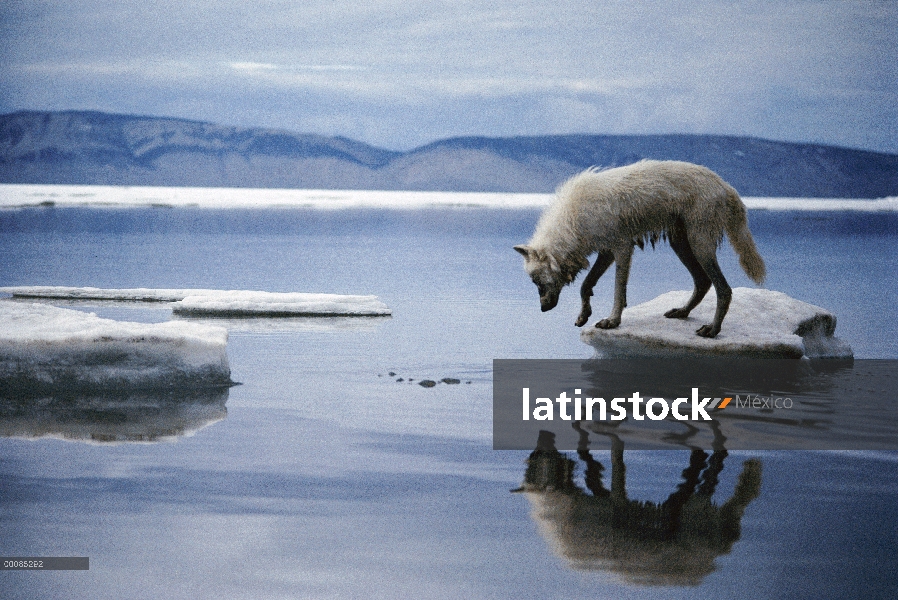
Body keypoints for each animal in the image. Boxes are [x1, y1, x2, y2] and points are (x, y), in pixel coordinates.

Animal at [512, 159, 764, 338]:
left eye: (537, 282)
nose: (543, 309)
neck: (573, 222)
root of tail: (725, 185)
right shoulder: (606, 252)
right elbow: (585, 286)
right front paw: (584, 315)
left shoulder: (622, 249)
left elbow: (617, 291)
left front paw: (612, 321)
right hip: (681, 244)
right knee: (703, 281)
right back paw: (682, 312)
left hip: (700, 245)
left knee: (724, 289)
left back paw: (711, 330)